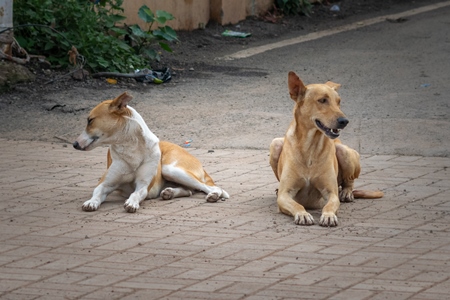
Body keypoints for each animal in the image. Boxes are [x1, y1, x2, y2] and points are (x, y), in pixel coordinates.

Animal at [74, 92, 230, 212]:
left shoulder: (143, 185)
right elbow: (97, 193)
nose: (74, 144)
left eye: (90, 120)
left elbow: (136, 194)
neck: (131, 148)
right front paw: (91, 202)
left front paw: (132, 203)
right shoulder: (105, 184)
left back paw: (213, 195)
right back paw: (169, 192)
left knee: (211, 187)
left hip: (171, 169)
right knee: (189, 190)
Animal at [270, 72, 384, 226]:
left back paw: (347, 192)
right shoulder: (284, 194)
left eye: (338, 101)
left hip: (343, 151)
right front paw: (302, 214)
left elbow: (329, 205)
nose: (344, 121)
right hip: (275, 144)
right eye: (322, 100)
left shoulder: (331, 192)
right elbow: (296, 204)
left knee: (349, 181)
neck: (311, 147)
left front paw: (328, 215)